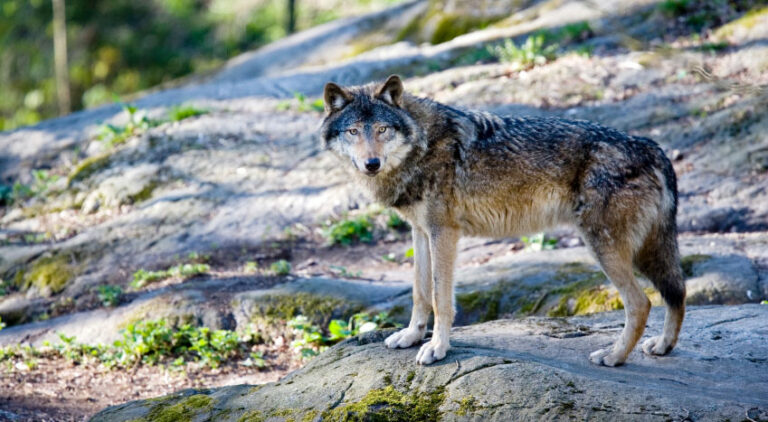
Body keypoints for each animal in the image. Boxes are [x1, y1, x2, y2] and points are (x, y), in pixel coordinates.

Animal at [319, 75, 685, 367]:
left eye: (382, 129)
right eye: (353, 131)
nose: (372, 163)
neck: (422, 144)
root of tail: (653, 148)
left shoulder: (444, 233)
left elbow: (440, 298)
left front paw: (437, 348)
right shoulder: (420, 232)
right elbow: (420, 293)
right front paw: (410, 336)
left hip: (605, 248)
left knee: (641, 303)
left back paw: (613, 356)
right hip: (643, 251)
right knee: (676, 292)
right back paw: (663, 346)